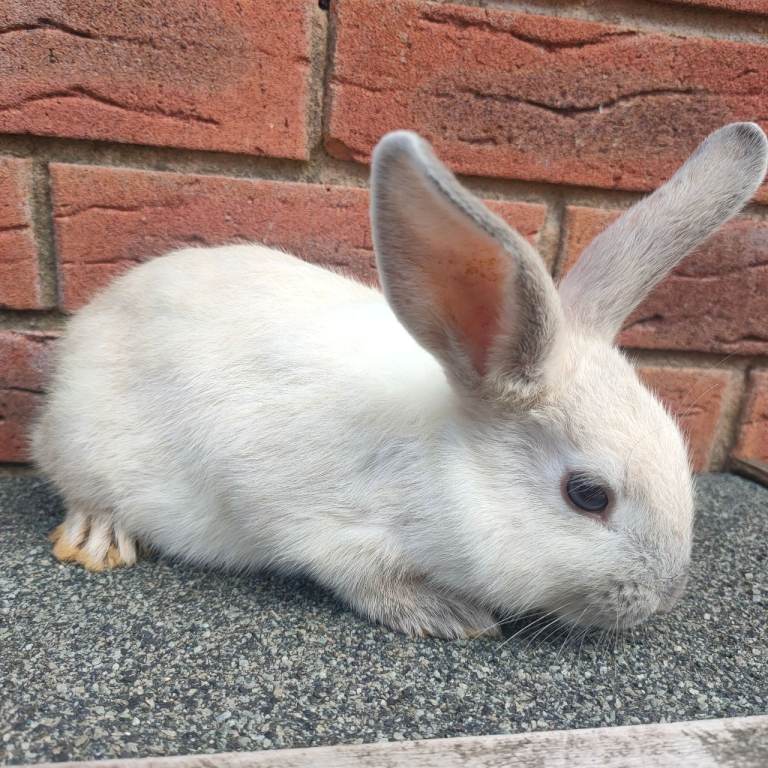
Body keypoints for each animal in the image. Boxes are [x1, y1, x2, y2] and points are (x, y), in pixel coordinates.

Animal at [32, 122, 767, 639]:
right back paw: (98, 539)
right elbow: (361, 576)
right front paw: (447, 614)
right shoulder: (309, 520)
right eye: (588, 496)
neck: (446, 466)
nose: (664, 597)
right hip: (86, 445)